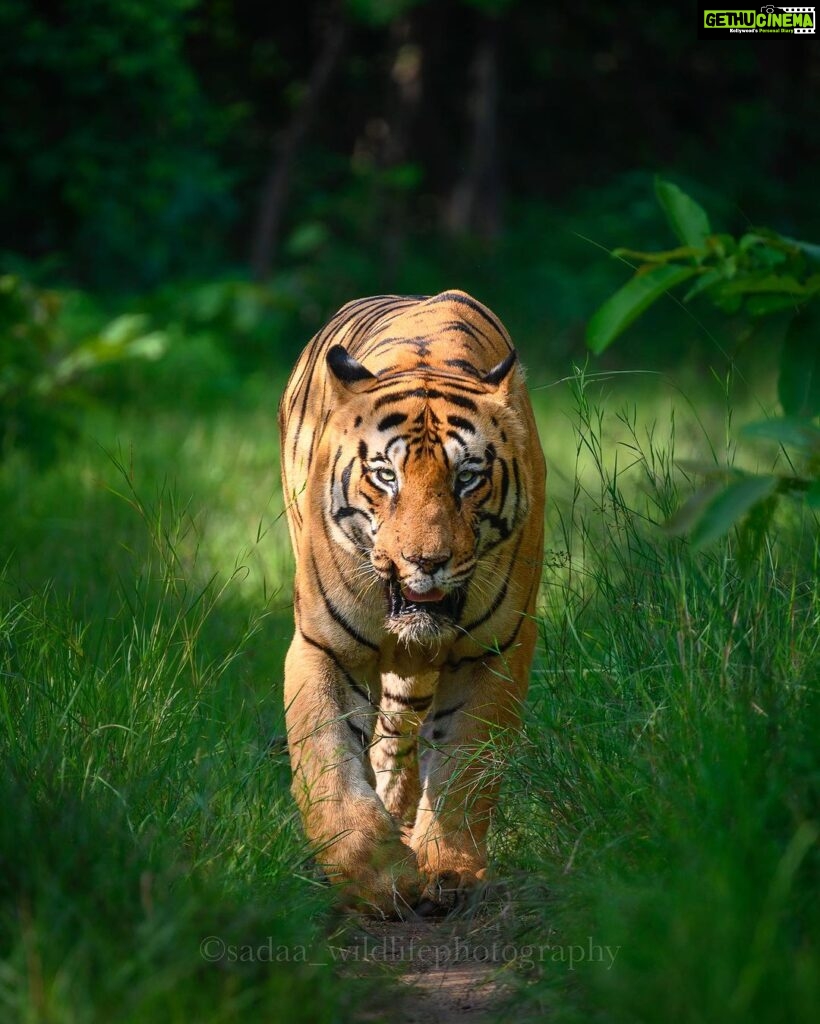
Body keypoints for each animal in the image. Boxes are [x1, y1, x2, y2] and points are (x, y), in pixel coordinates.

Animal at [278, 290, 548, 921]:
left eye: (468, 477)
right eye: (385, 476)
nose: (426, 560)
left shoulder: (494, 653)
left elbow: (467, 768)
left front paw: (447, 868)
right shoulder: (322, 646)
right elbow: (326, 762)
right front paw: (377, 879)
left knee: (399, 731)